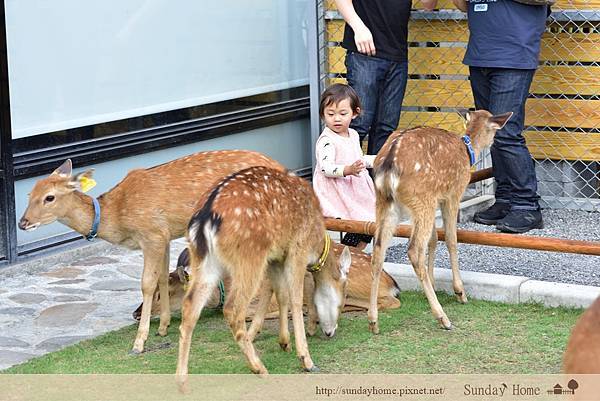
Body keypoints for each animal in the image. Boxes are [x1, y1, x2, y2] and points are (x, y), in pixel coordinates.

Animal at [16, 151, 284, 354]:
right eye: (29, 194)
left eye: (49, 197)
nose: (23, 222)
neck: (118, 217)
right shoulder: (164, 235)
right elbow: (162, 277)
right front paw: (162, 328)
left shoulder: (152, 234)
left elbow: (146, 282)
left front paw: (139, 342)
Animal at [173, 166, 352, 382]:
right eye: (342, 301)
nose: (331, 332)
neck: (316, 246)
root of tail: (204, 220)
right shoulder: (297, 250)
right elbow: (295, 298)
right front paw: (306, 359)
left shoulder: (276, 258)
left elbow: (281, 294)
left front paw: (284, 342)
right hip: (249, 257)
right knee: (232, 308)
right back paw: (259, 368)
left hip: (204, 261)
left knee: (190, 307)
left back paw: (181, 380)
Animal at [368, 109, 512, 332]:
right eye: (493, 129)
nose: (493, 143)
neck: (467, 150)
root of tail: (389, 164)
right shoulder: (452, 195)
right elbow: (451, 239)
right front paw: (460, 292)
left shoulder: (436, 199)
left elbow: (434, 239)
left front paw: (434, 283)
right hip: (421, 199)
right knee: (414, 250)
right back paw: (442, 317)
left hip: (386, 202)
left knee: (378, 248)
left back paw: (373, 321)